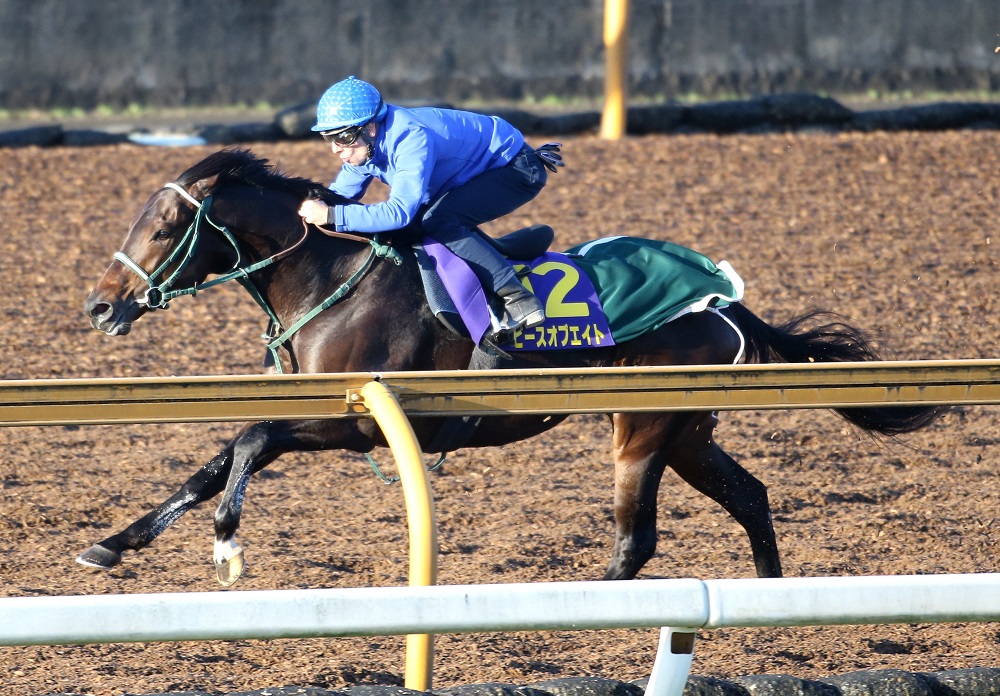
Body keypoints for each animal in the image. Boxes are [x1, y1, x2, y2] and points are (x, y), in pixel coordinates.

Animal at [82, 148, 940, 588]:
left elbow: (252, 442)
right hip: (686, 429)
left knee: (637, 540)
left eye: (165, 225)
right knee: (752, 498)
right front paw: (115, 543)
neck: (330, 279)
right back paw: (770, 598)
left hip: (643, 424)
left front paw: (228, 544)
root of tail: (721, 299)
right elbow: (216, 458)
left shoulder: (358, 423)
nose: (98, 305)